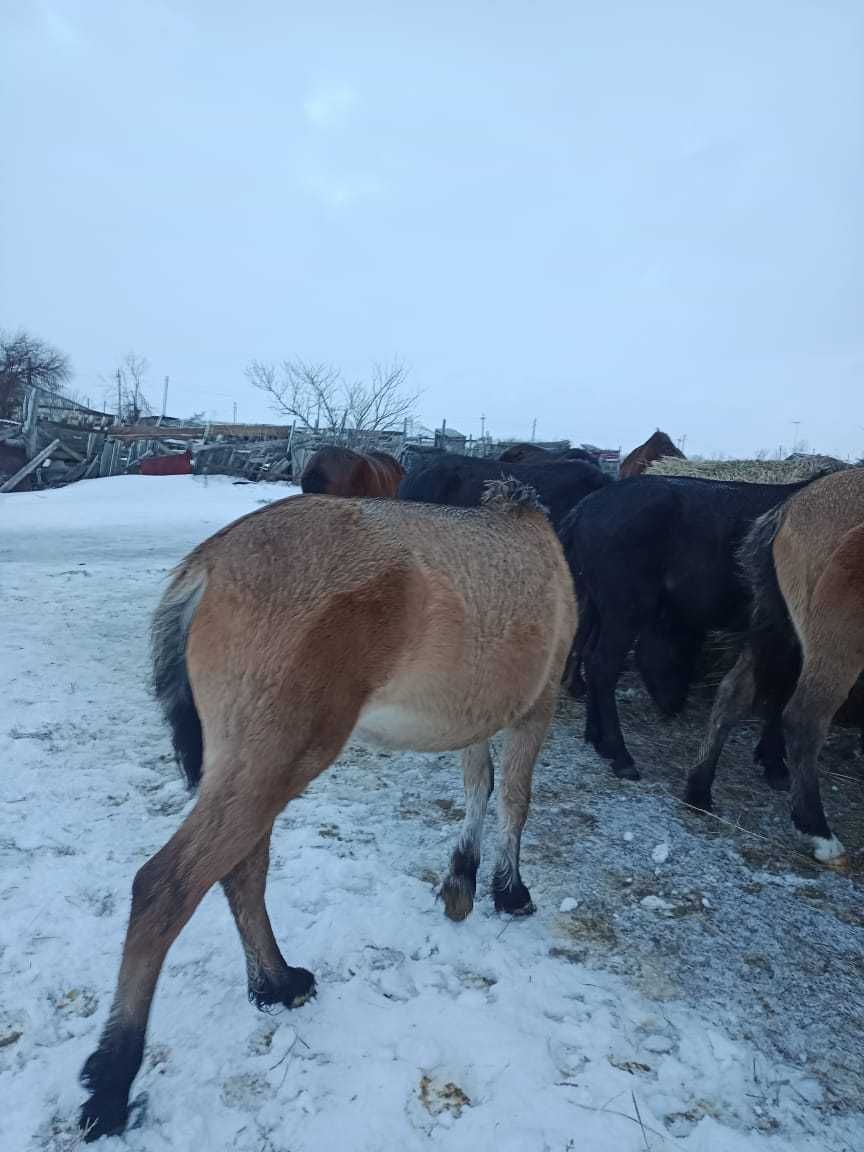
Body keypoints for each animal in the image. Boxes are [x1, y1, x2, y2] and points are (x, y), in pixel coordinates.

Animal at [77, 481, 578, 1138]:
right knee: (166, 887)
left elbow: (480, 785)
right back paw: (111, 1082)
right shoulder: (534, 710)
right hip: (276, 763)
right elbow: (515, 798)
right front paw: (510, 890)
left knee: (241, 871)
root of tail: (207, 565)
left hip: (254, 769)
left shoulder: (477, 715)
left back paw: (277, 984)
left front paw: (462, 880)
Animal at [686, 467, 861, 866]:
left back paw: (699, 789)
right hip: (837, 643)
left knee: (733, 694)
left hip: (781, 630)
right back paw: (818, 831)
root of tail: (792, 507)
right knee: (803, 719)